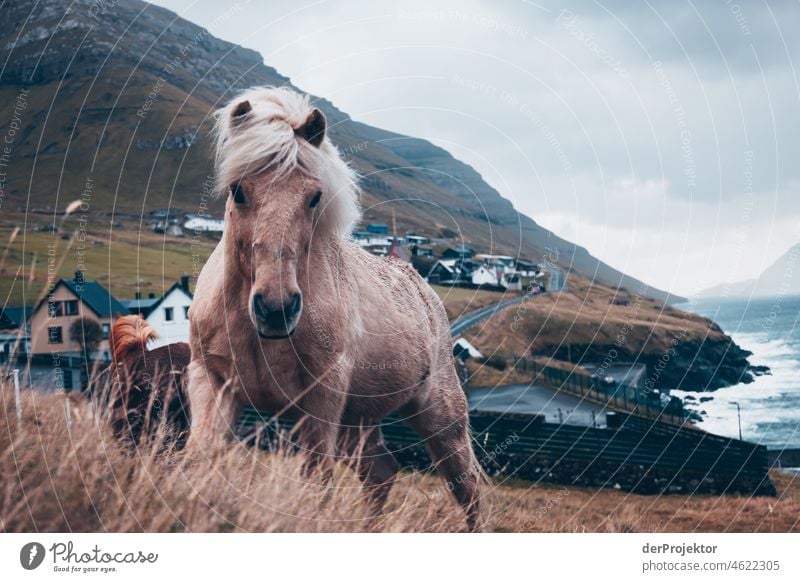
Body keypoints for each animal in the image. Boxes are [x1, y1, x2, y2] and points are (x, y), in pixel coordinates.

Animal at [188, 88, 482, 532]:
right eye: (238, 190)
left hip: (441, 418)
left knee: (468, 486)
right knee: (381, 472)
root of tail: (423, 289)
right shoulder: (213, 384)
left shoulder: (321, 401)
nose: (276, 309)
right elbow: (198, 459)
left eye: (314, 197)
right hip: (358, 420)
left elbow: (315, 481)